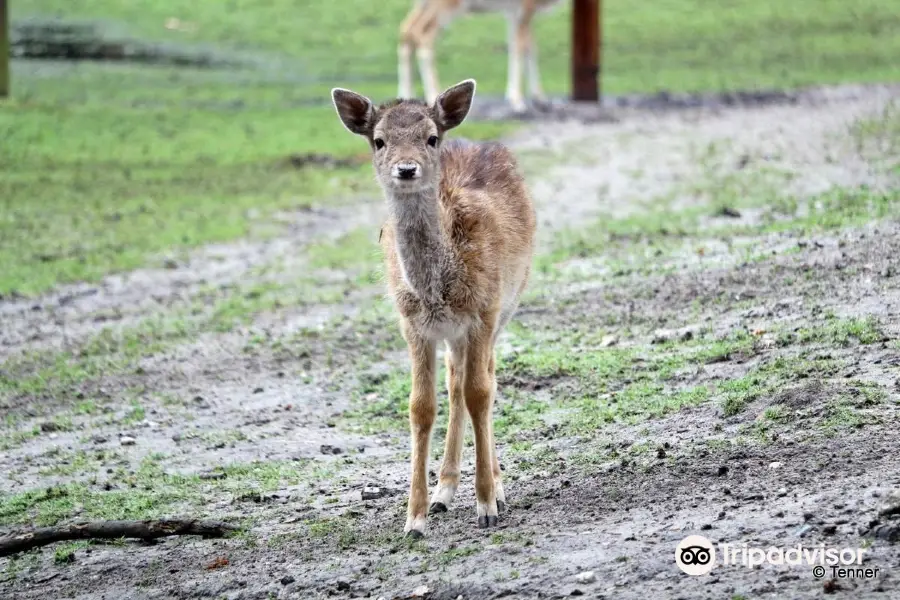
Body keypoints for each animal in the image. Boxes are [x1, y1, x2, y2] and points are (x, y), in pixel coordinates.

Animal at [334, 79, 536, 536]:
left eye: (430, 137)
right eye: (379, 140)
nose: (406, 169)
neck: (437, 289)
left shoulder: (483, 312)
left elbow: (481, 393)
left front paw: (487, 504)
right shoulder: (413, 326)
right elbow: (420, 407)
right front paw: (415, 518)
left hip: (508, 304)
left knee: (485, 379)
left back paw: (494, 486)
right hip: (456, 336)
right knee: (454, 382)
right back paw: (445, 490)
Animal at [400, 0, 564, 112]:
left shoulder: (513, 11)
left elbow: (529, 48)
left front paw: (540, 99)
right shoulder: (524, 8)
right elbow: (520, 48)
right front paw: (517, 102)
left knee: (407, 29)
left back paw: (405, 98)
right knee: (422, 33)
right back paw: (433, 95)